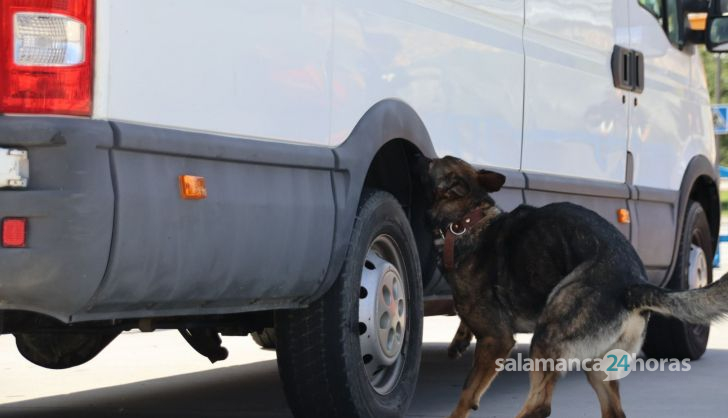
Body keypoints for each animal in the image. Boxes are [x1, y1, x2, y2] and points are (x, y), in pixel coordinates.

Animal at [424, 156, 728, 418]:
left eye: (433, 161)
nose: (422, 157)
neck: (470, 220)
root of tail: (632, 286)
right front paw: (459, 338)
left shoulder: (496, 340)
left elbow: (467, 394)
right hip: (597, 363)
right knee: (613, 411)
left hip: (548, 336)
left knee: (540, 406)